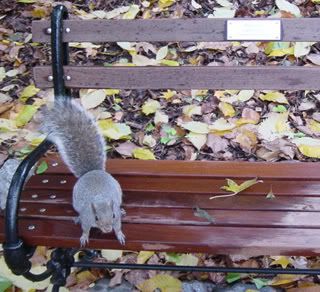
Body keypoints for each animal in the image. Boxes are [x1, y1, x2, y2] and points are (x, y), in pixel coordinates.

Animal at [42, 98, 126, 246]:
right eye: (96, 218)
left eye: (113, 215)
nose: (107, 229)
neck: (100, 198)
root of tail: (92, 172)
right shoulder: (87, 218)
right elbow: (85, 228)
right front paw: (84, 237)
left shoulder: (115, 217)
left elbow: (118, 226)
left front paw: (119, 234)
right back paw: (77, 218)